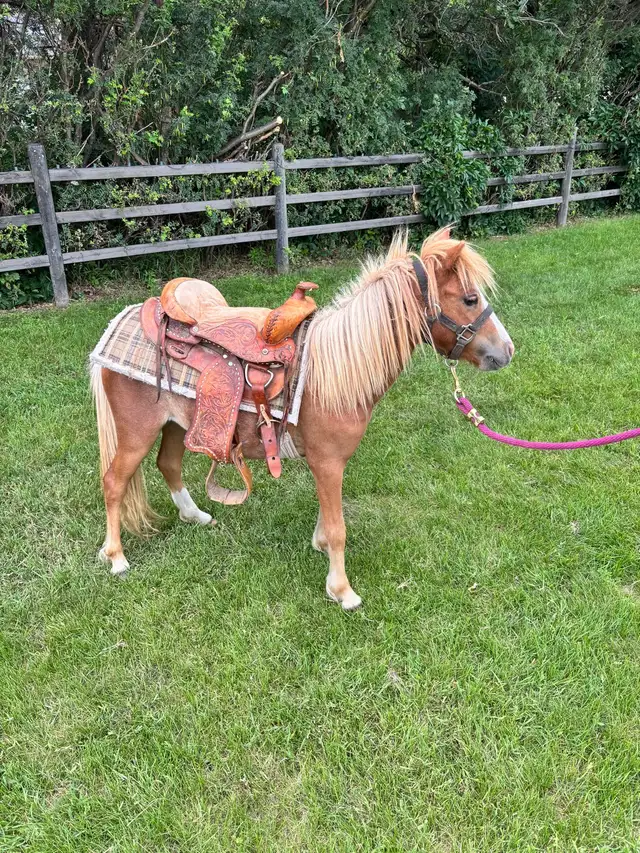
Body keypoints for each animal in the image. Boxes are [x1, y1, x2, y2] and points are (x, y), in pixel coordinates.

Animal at [91, 227, 514, 608]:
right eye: (470, 298)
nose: (507, 351)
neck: (338, 368)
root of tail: (124, 319)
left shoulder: (327, 464)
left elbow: (329, 515)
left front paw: (321, 546)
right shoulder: (328, 462)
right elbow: (339, 527)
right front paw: (342, 591)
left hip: (179, 425)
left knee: (168, 464)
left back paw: (194, 515)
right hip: (139, 432)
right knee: (114, 482)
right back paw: (116, 557)